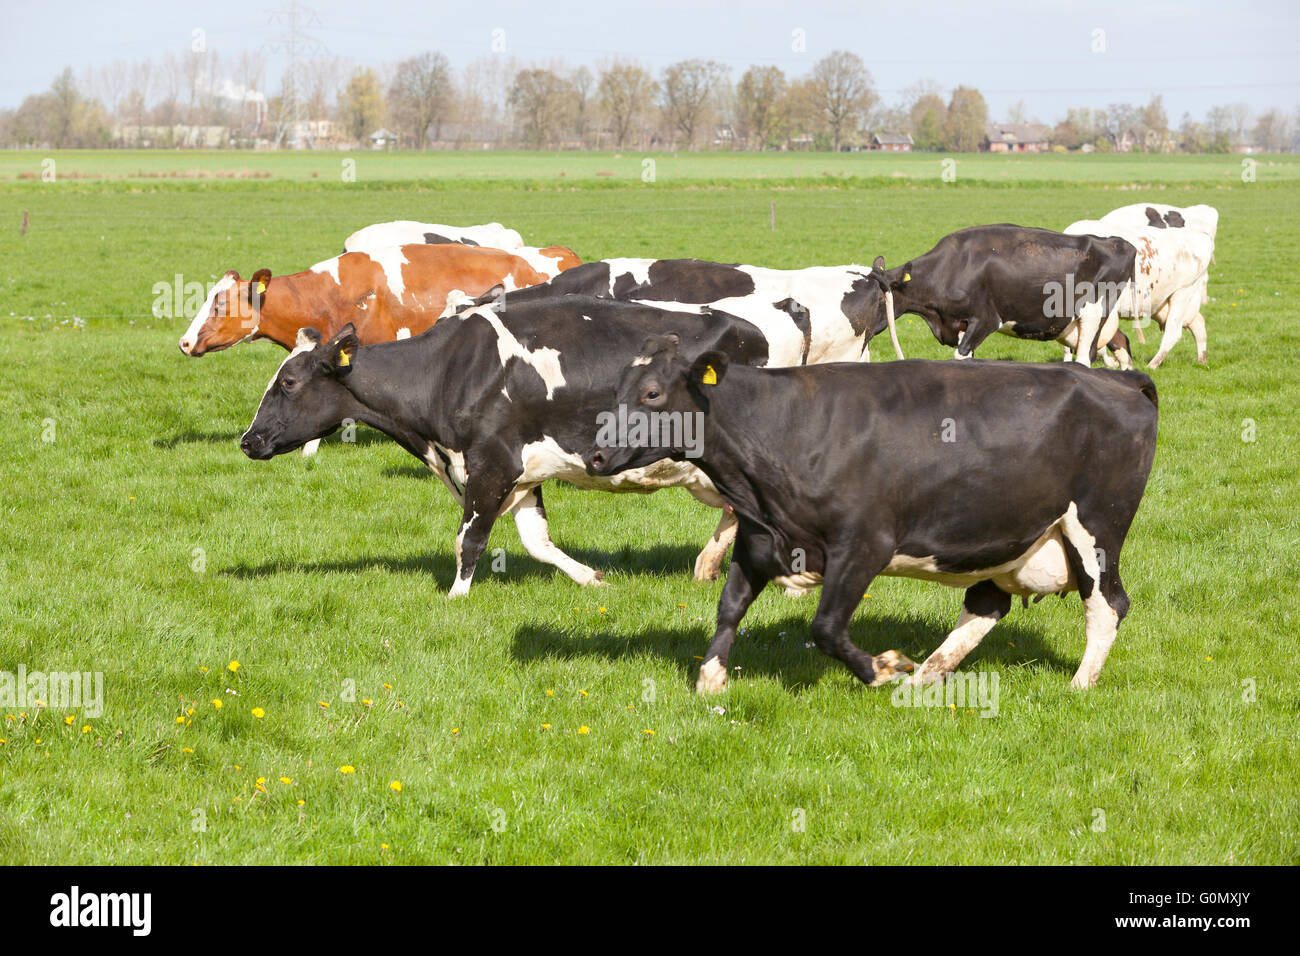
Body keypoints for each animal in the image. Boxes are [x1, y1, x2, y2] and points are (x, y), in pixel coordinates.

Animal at [239, 298, 775, 597]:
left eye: (287, 382)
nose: (249, 440)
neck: (450, 371)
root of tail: (752, 328)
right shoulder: (522, 472)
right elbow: (538, 543)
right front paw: (590, 578)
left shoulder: (492, 464)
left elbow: (468, 539)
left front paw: (456, 597)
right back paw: (707, 565)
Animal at [583, 341, 1159, 694]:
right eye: (615, 391)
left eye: (653, 393)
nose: (596, 456)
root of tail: (1120, 380)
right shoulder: (758, 538)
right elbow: (729, 610)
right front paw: (710, 680)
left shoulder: (863, 545)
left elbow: (826, 627)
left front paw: (880, 668)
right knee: (987, 606)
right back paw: (924, 677)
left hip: (1096, 527)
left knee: (1108, 604)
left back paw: (1079, 683)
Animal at [868, 224, 1138, 368]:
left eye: (877, 298)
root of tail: (1118, 242)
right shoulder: (960, 324)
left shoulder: (985, 319)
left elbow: (961, 355)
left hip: (1092, 313)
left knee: (1083, 357)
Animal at [1063, 220, 1213, 367]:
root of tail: (1201, 235)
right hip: (1167, 303)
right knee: (1198, 323)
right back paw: (1202, 360)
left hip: (1182, 293)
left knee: (1173, 332)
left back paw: (1152, 365)